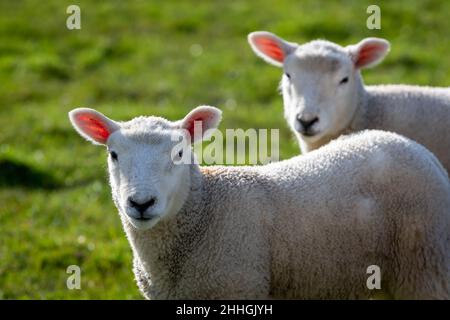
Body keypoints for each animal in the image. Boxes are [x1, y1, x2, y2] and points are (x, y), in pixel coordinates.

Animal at [67, 106, 450, 298]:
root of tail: (416, 150)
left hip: (425, 269)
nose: (141, 202)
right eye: (114, 154)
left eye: (179, 153)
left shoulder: (236, 286)